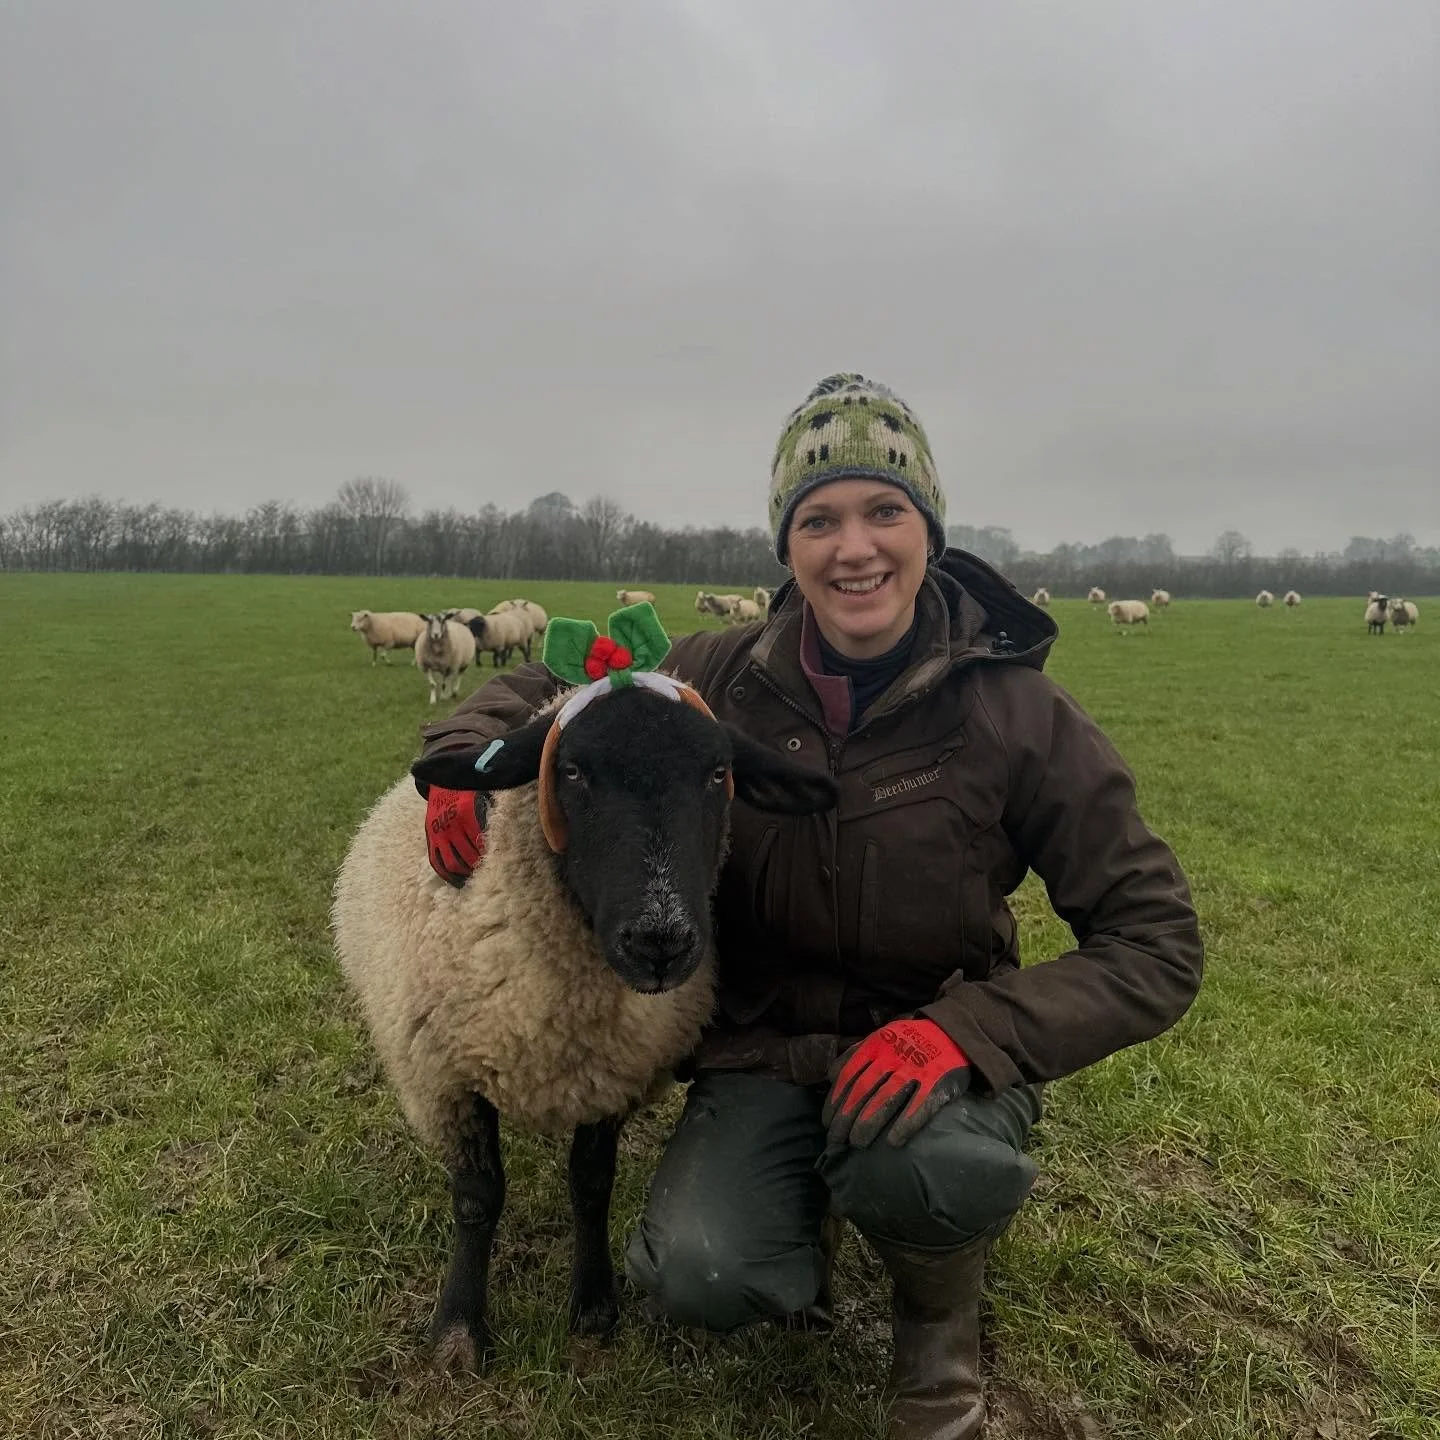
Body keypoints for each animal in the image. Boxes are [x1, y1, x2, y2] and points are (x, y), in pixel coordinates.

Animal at [332, 680, 837, 1369]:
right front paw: (460, 1329)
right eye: (572, 771)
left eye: (718, 772)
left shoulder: (612, 1075)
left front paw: (594, 1305)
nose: (659, 941)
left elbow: (592, 1185)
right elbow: (477, 1199)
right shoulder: (448, 1080)